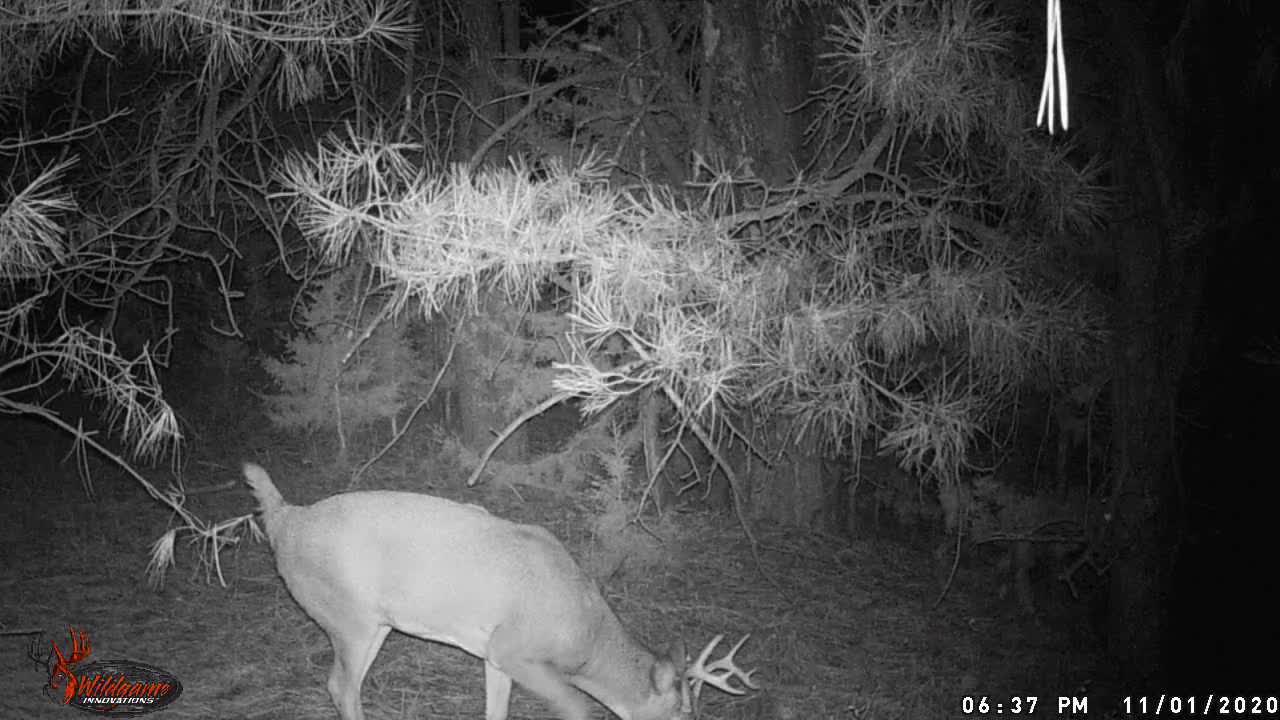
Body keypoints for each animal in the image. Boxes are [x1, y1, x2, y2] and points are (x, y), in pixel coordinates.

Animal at [244, 461, 752, 712]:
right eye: (682, 711)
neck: (586, 639)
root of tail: (285, 520)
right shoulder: (515, 649)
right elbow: (580, 709)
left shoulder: (493, 655)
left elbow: (497, 711)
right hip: (349, 618)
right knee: (341, 686)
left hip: (377, 623)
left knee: (341, 684)